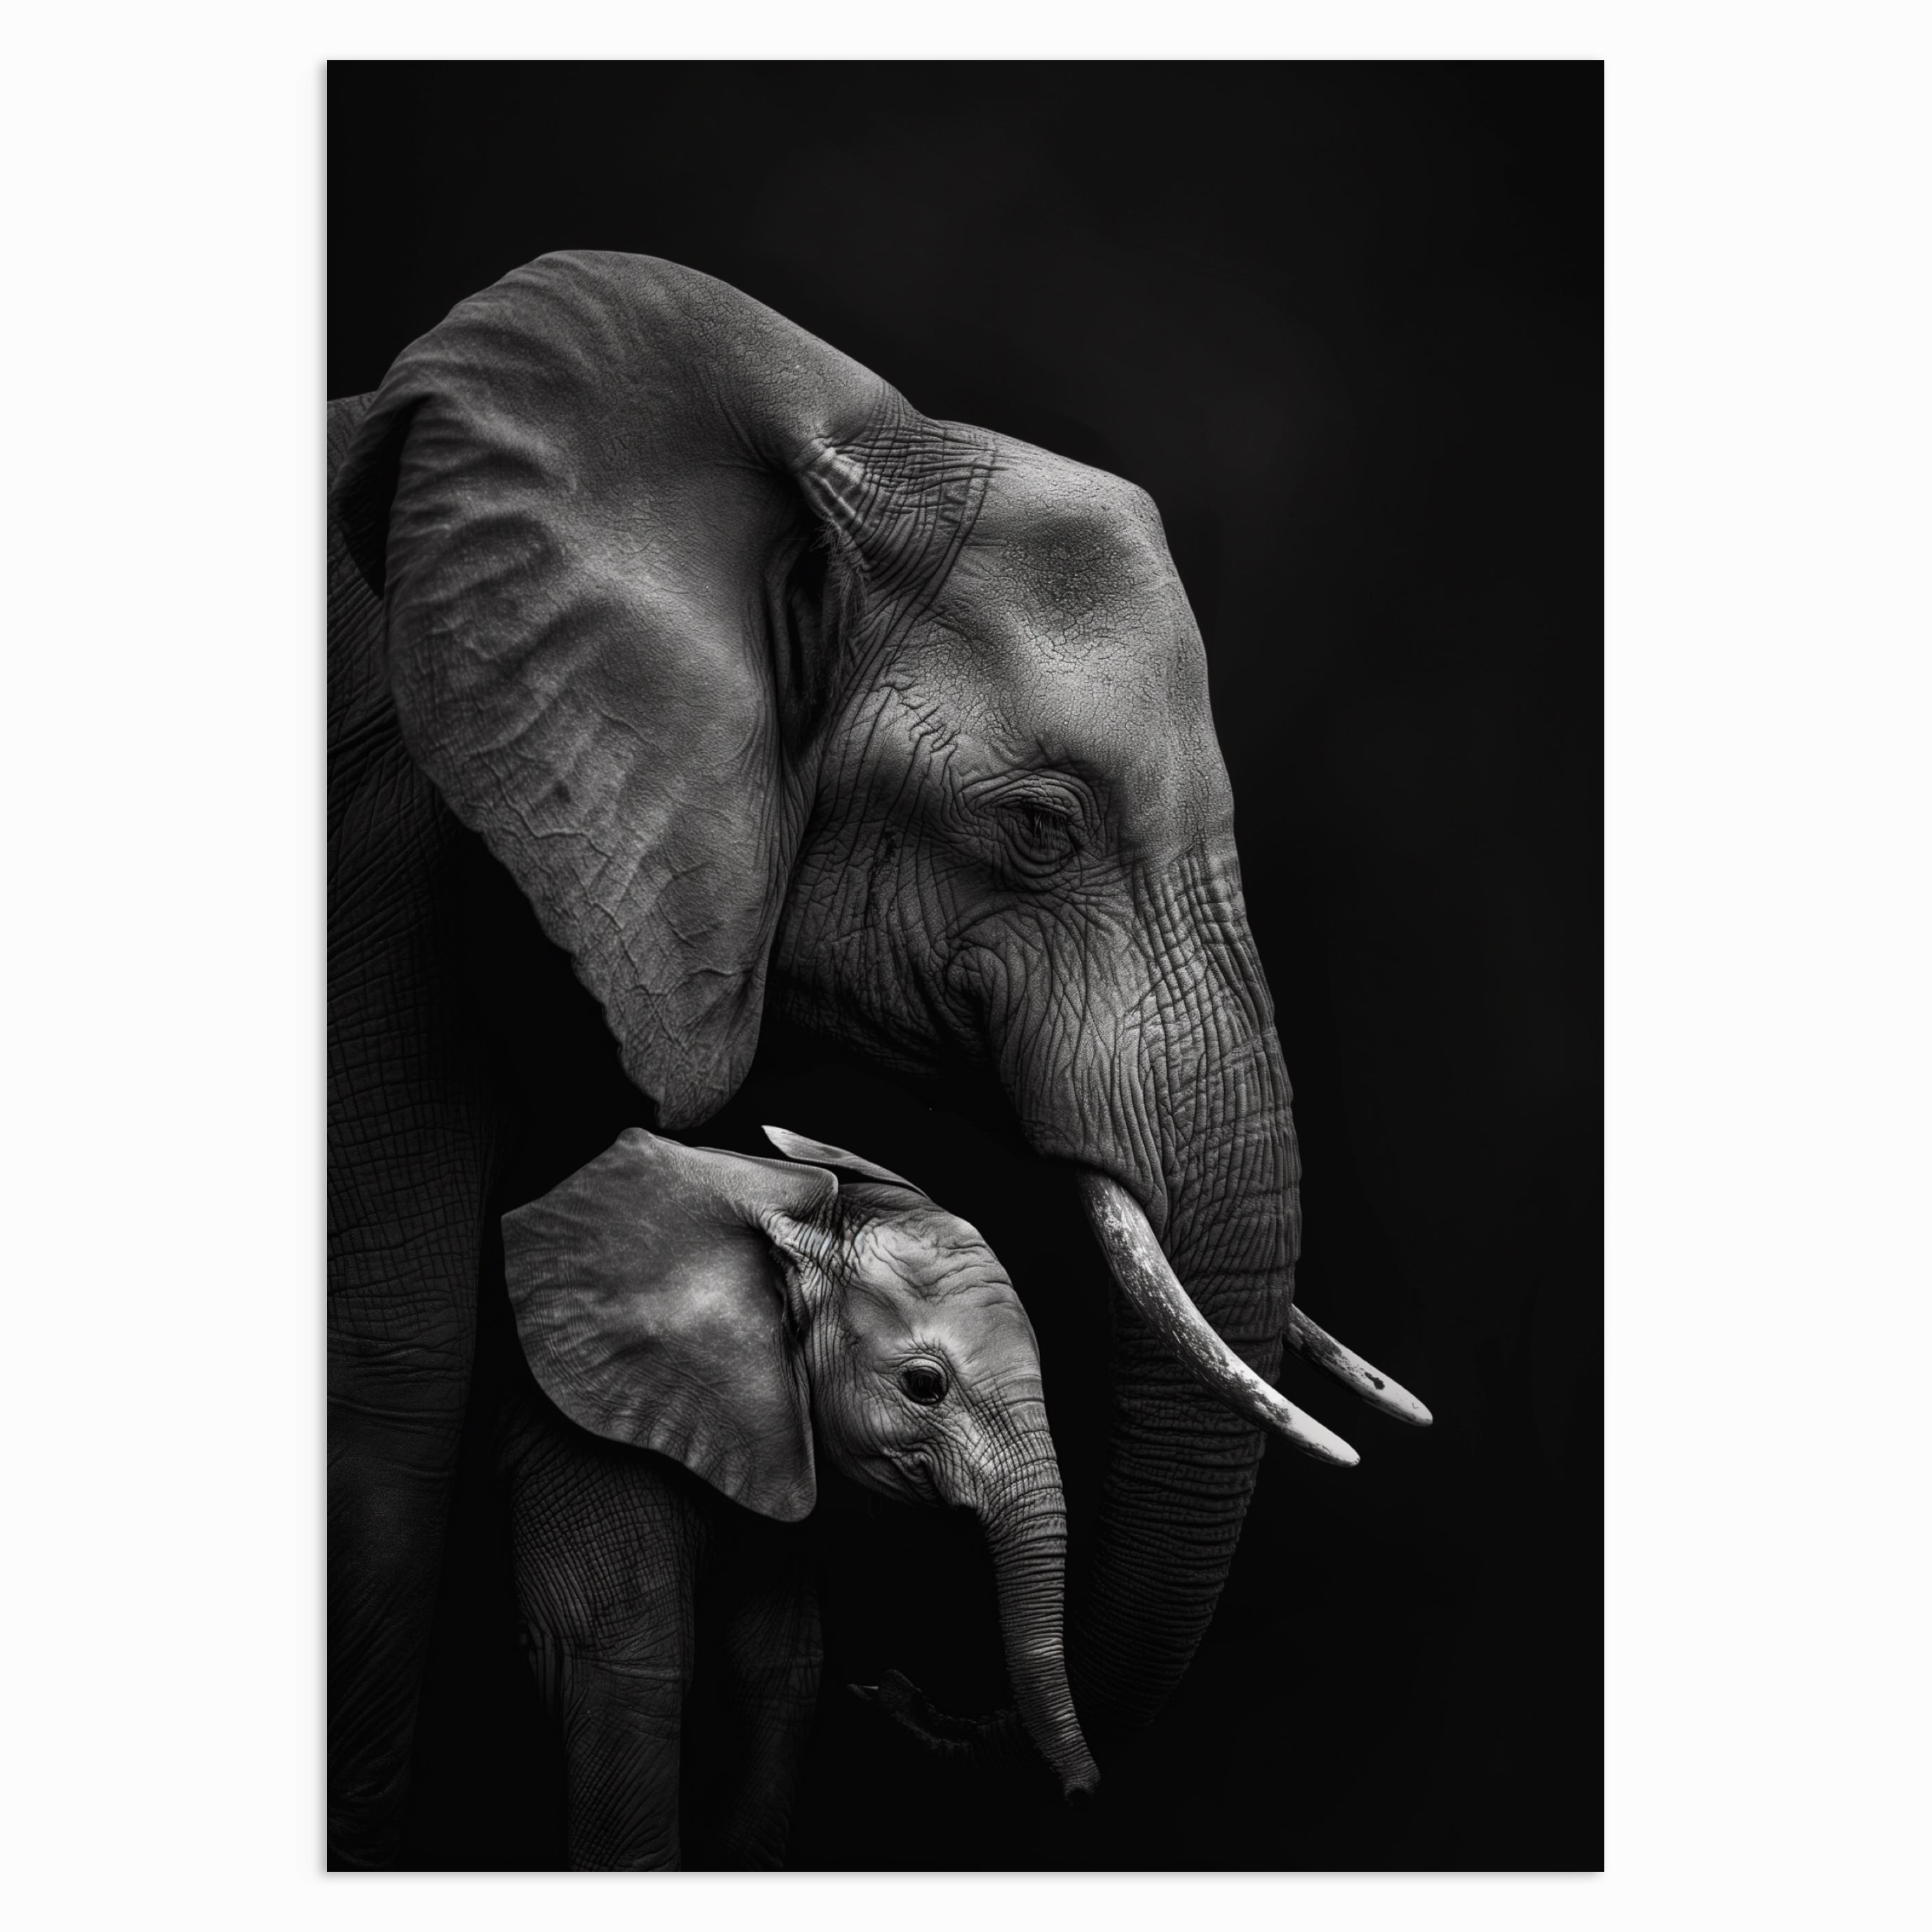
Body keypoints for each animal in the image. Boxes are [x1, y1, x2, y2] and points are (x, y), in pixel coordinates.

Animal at [497, 1121, 1095, 1865]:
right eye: (924, 1385)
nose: (887, 1684)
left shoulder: (764, 1435)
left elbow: (782, 1671)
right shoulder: (586, 1438)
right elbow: (625, 1673)